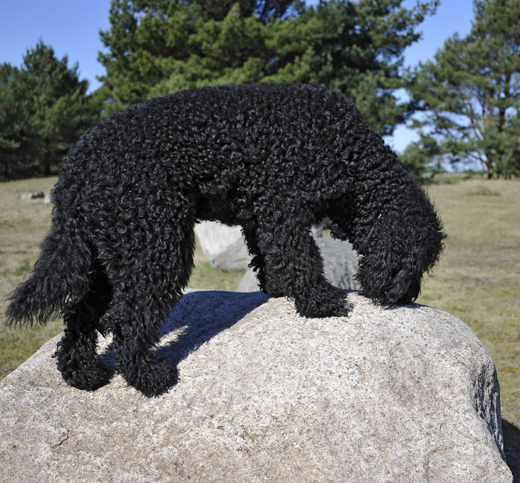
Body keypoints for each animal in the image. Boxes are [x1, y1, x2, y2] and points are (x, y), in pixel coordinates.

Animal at [4, 85, 444, 398]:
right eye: (414, 266)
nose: (407, 298)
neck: (348, 152)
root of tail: (72, 171)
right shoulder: (284, 206)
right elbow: (300, 256)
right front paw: (321, 302)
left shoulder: (260, 213)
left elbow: (270, 256)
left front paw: (280, 289)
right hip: (156, 245)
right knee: (127, 320)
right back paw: (150, 378)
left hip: (103, 255)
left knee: (79, 316)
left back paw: (83, 374)